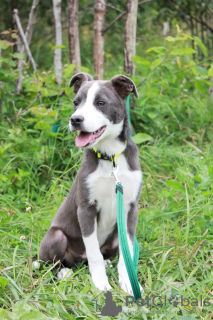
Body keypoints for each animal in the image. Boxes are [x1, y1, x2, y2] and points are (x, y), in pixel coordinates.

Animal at [37, 74, 142, 294]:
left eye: (100, 103)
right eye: (76, 103)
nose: (75, 120)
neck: (110, 157)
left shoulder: (130, 208)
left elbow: (126, 252)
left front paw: (128, 283)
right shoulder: (86, 208)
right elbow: (93, 252)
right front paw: (101, 285)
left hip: (114, 236)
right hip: (56, 236)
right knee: (54, 264)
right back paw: (64, 273)